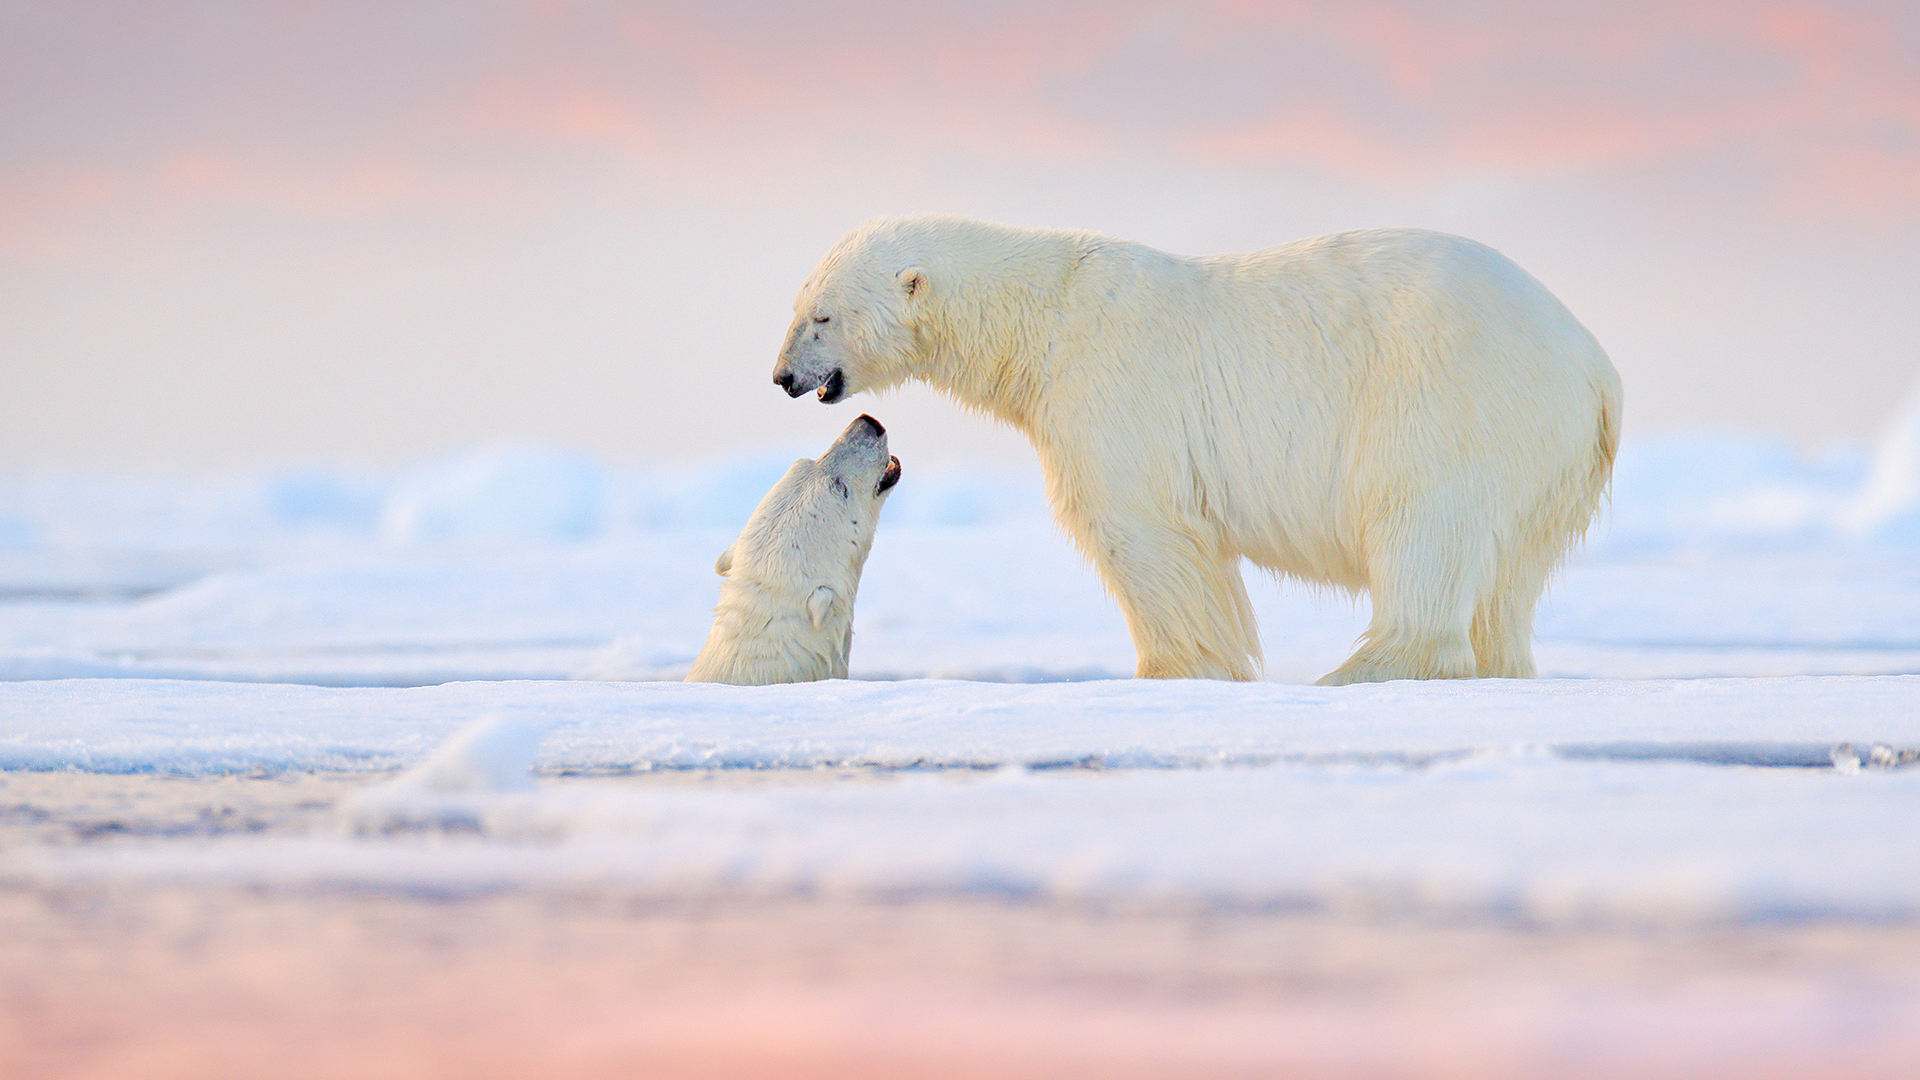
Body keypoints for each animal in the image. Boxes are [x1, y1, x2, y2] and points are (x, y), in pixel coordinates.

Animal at [771, 215, 1620, 685]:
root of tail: (1592, 364)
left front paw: (1176, 669)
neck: (1044, 316)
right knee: (1508, 576)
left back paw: (1362, 668)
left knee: (1422, 520)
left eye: (822, 316)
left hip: (1448, 395)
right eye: (799, 306)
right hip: (1551, 458)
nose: (782, 377)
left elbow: (1139, 530)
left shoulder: (1110, 387)